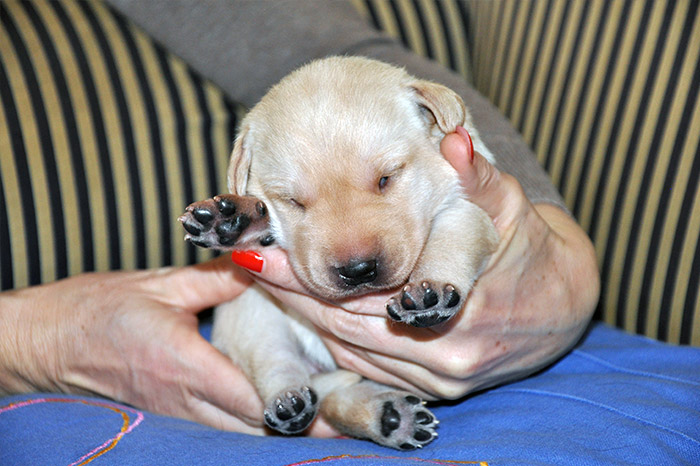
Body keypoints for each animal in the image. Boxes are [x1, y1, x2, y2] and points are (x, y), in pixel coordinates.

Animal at [180, 56, 498, 450]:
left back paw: (390, 416)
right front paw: (239, 219)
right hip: (252, 313)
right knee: (276, 363)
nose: (358, 270)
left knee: (333, 397)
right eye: (293, 201)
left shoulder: (467, 207)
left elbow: (451, 242)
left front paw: (431, 292)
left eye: (387, 178)